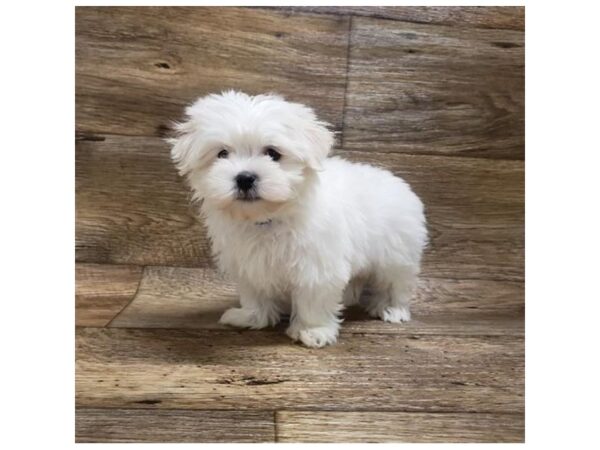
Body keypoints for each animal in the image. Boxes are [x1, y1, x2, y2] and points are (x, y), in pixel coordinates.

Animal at [169, 90, 426, 348]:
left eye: (273, 153)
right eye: (222, 154)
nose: (245, 178)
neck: (269, 218)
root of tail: (398, 183)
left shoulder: (316, 267)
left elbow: (313, 300)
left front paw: (313, 331)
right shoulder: (249, 263)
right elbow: (254, 294)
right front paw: (251, 317)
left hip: (397, 254)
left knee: (397, 282)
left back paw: (393, 309)